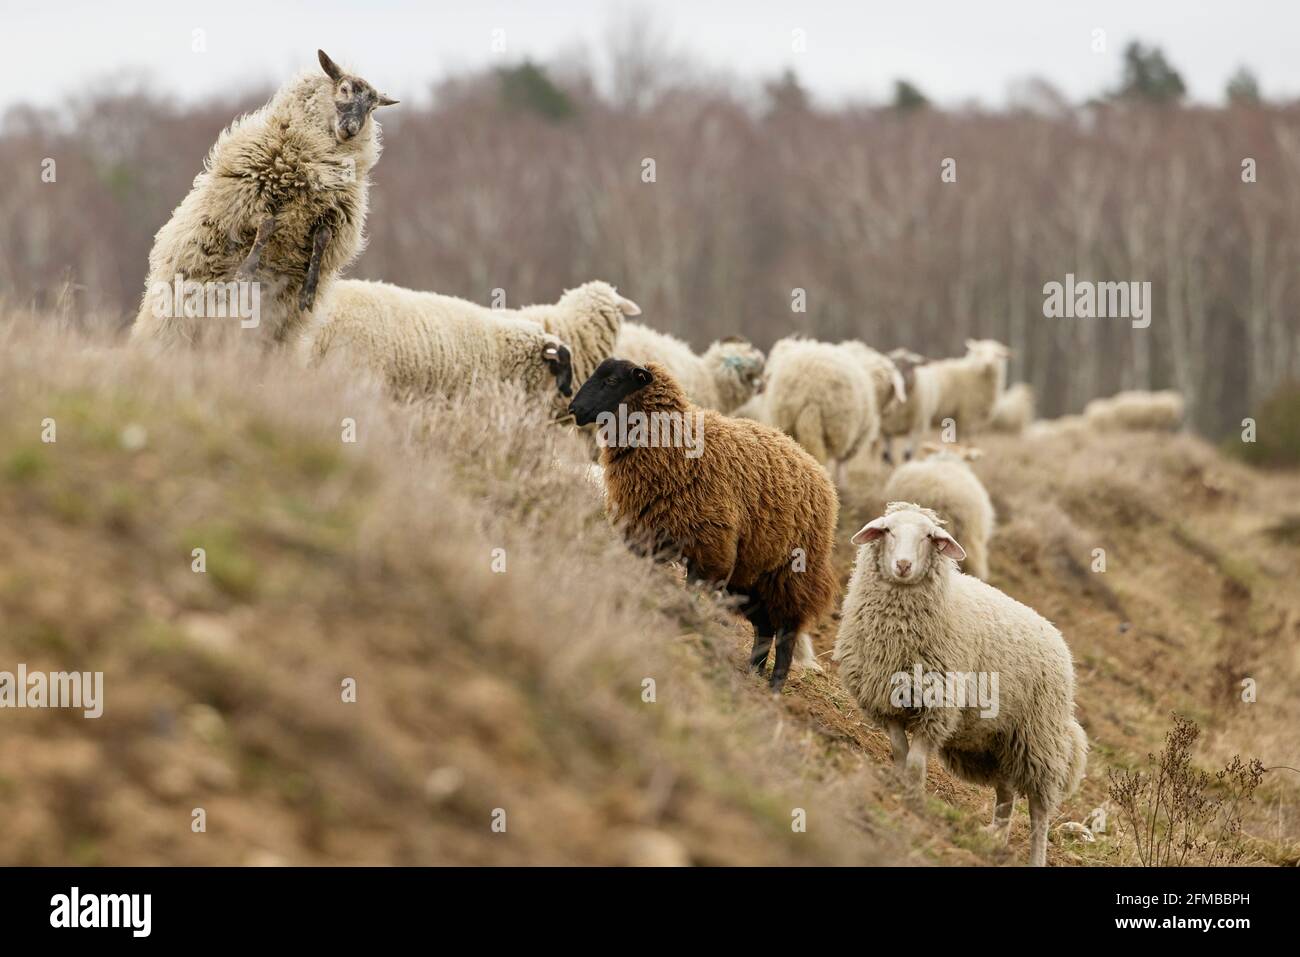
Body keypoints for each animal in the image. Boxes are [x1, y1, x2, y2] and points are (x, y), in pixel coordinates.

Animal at [130, 51, 397, 350]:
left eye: (372, 108)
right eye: (343, 89)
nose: (351, 129)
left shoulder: (332, 215)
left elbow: (321, 241)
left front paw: (309, 290)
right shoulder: (253, 198)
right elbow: (267, 224)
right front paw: (246, 270)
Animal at [568, 358, 839, 691]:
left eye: (612, 381)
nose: (574, 408)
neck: (671, 442)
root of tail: (818, 471)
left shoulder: (708, 550)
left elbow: (691, 594)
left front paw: (684, 625)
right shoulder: (646, 537)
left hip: (792, 575)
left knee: (786, 634)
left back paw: (774, 688)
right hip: (752, 576)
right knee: (764, 628)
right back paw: (753, 673)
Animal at [763, 337, 906, 485]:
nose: (891, 410)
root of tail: (808, 388)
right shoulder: (855, 436)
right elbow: (842, 461)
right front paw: (843, 483)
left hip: (788, 422)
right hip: (838, 426)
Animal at [833, 502, 1088, 866]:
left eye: (929, 536)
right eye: (888, 530)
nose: (903, 565)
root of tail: (1056, 634)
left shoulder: (937, 708)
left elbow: (916, 763)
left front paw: (914, 800)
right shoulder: (885, 701)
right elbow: (900, 753)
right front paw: (901, 788)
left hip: (1040, 738)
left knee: (1040, 810)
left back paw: (1035, 856)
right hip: (997, 741)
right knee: (1006, 792)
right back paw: (995, 842)